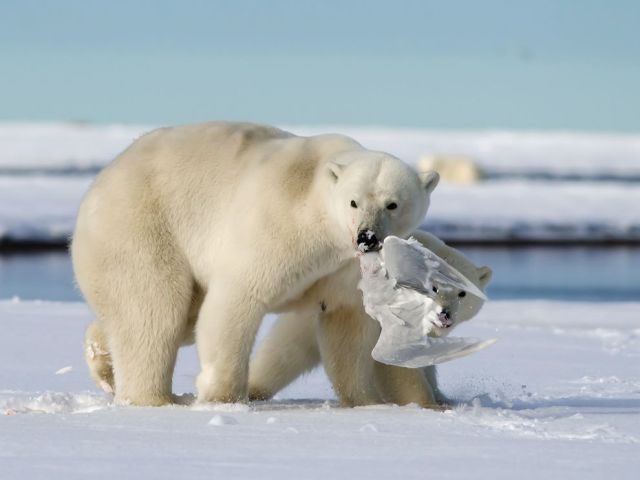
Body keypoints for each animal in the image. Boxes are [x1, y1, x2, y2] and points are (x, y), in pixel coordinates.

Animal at [73, 121, 440, 406]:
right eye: (353, 202)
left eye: (392, 204)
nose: (367, 237)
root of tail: (101, 181)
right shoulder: (278, 224)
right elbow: (237, 299)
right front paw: (223, 396)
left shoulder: (347, 269)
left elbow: (345, 322)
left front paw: (366, 401)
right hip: (142, 225)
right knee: (154, 309)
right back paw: (152, 398)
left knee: (171, 318)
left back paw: (103, 362)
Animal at [248, 230, 492, 408]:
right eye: (434, 287)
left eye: (462, 293)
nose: (445, 314)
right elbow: (396, 365)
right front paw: (429, 404)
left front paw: (442, 397)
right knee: (286, 352)